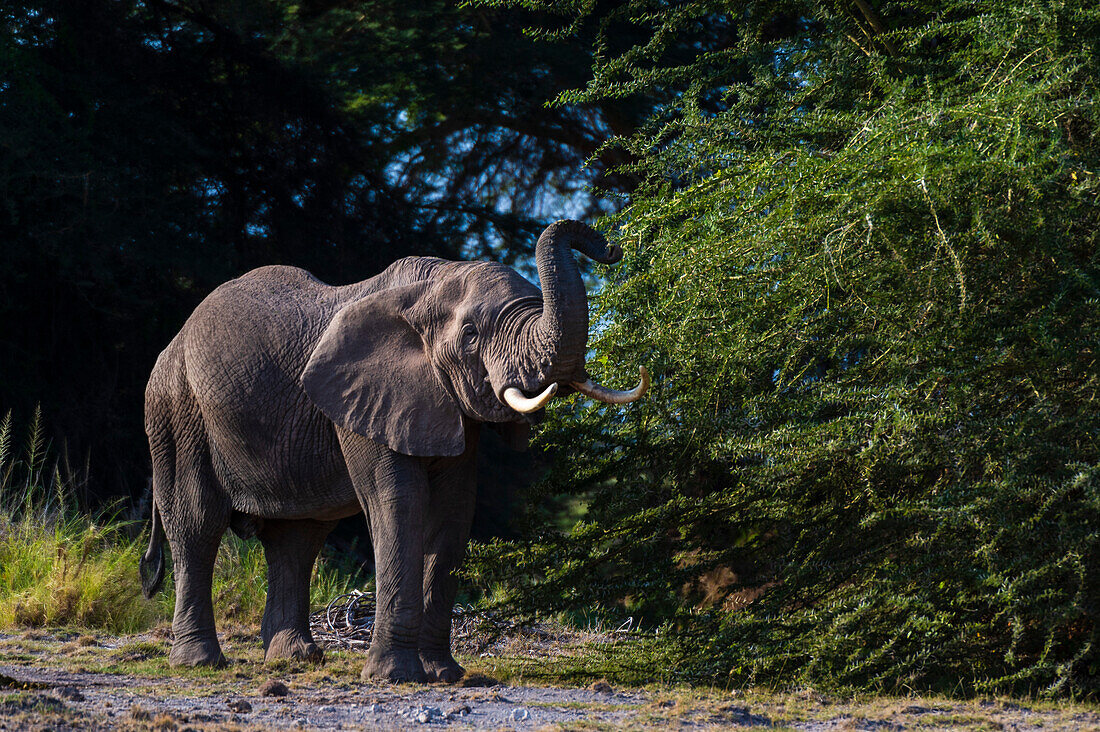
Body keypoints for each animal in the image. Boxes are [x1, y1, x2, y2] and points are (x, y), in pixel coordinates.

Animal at [141, 220, 646, 682]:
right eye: (470, 335)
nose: (610, 246)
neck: (431, 287)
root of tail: (172, 343)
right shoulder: (366, 400)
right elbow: (399, 503)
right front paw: (394, 676)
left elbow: (453, 512)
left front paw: (444, 674)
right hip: (176, 411)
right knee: (196, 523)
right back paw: (200, 662)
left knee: (297, 537)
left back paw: (296, 659)